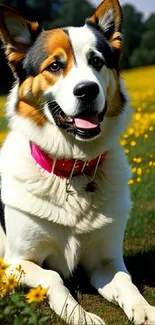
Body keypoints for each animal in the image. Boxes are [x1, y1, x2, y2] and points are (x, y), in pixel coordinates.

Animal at [0, 0, 154, 322]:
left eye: (96, 61)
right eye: (55, 66)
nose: (87, 90)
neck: (71, 168)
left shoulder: (104, 261)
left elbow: (125, 281)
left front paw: (144, 309)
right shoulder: (16, 262)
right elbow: (53, 277)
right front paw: (79, 315)